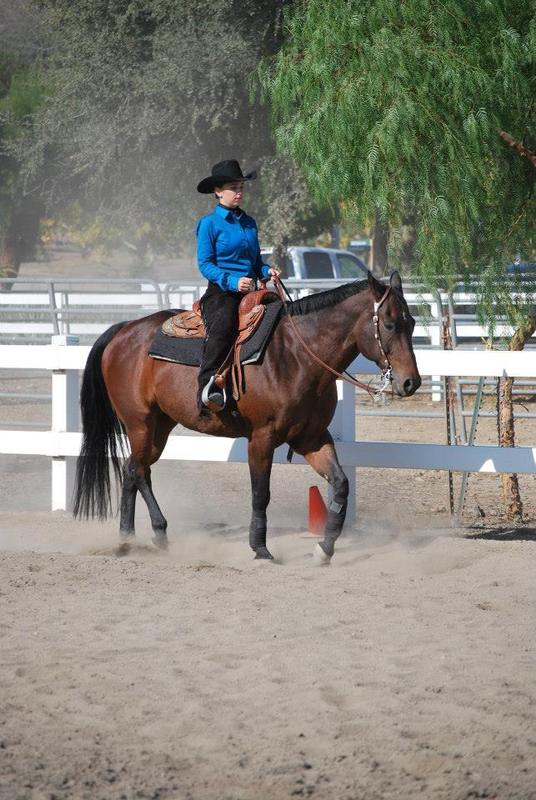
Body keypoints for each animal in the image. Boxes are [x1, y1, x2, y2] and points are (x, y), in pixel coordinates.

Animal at [73, 272, 420, 560]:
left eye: (413, 322)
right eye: (389, 323)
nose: (411, 382)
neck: (297, 356)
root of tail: (124, 330)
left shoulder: (311, 438)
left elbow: (341, 484)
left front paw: (325, 548)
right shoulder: (261, 438)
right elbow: (260, 494)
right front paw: (260, 548)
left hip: (160, 425)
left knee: (134, 470)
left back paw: (133, 538)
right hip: (140, 423)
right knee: (138, 470)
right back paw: (149, 534)